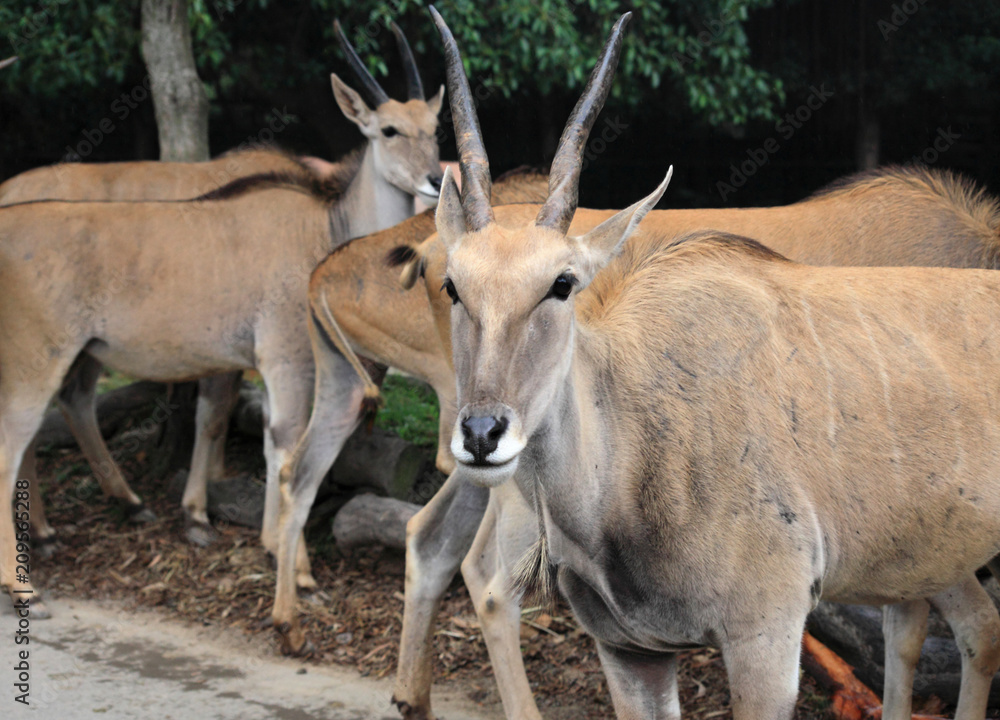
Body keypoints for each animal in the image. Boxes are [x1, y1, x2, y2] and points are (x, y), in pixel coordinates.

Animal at [0, 18, 446, 612]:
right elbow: (286, 449)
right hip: (37, 358)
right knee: (13, 444)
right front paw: (298, 571)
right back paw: (21, 580)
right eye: (389, 130)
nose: (437, 180)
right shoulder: (285, 360)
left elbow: (258, 438)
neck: (323, 227)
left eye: (435, 127)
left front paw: (261, 541)